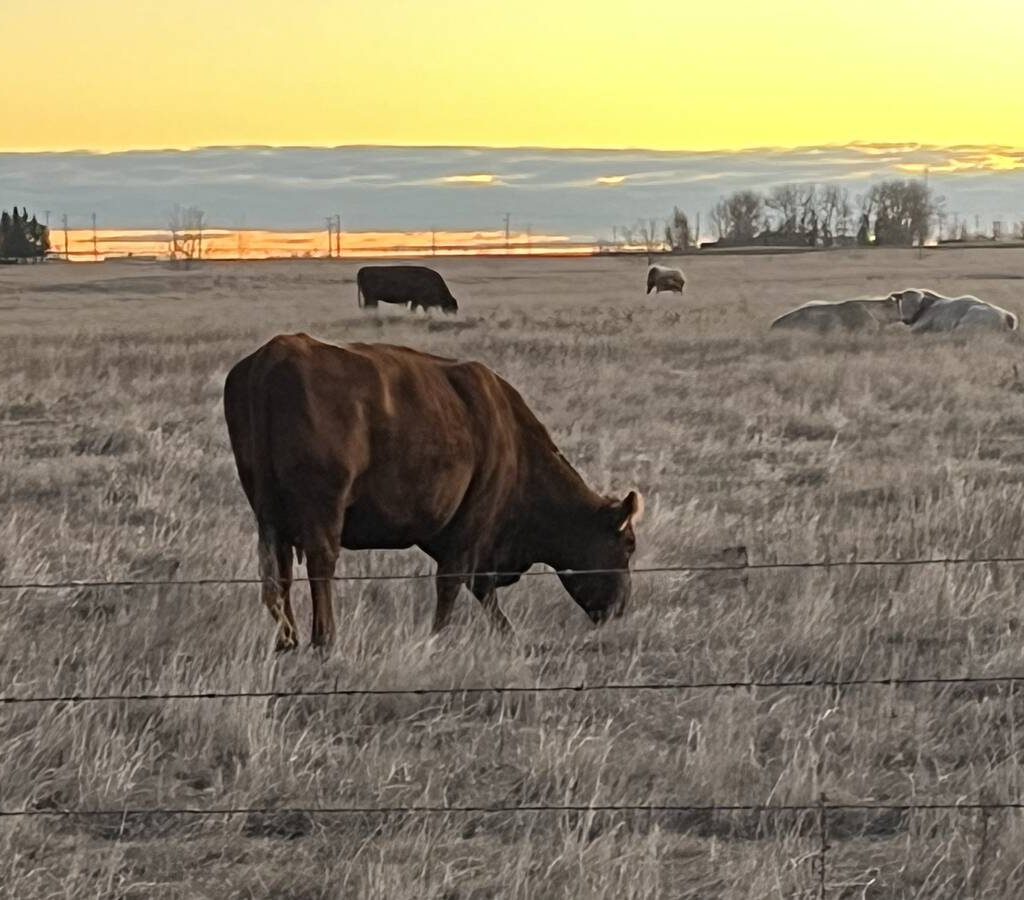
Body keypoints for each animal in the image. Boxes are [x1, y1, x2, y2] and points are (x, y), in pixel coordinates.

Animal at [223, 333, 642, 651]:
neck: (513, 438)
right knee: (320, 566)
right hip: (323, 510)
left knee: (277, 572)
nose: (621, 608)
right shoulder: (472, 526)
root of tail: (277, 353)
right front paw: (437, 637)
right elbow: (455, 583)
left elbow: (482, 590)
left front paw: (508, 635)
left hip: (269, 515)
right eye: (628, 545)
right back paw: (324, 640)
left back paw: (287, 641)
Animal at [888, 288, 1018, 333]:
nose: (906, 320)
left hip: (964, 325)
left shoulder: (920, 325)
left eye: (917, 304)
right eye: (903, 302)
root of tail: (1006, 316)